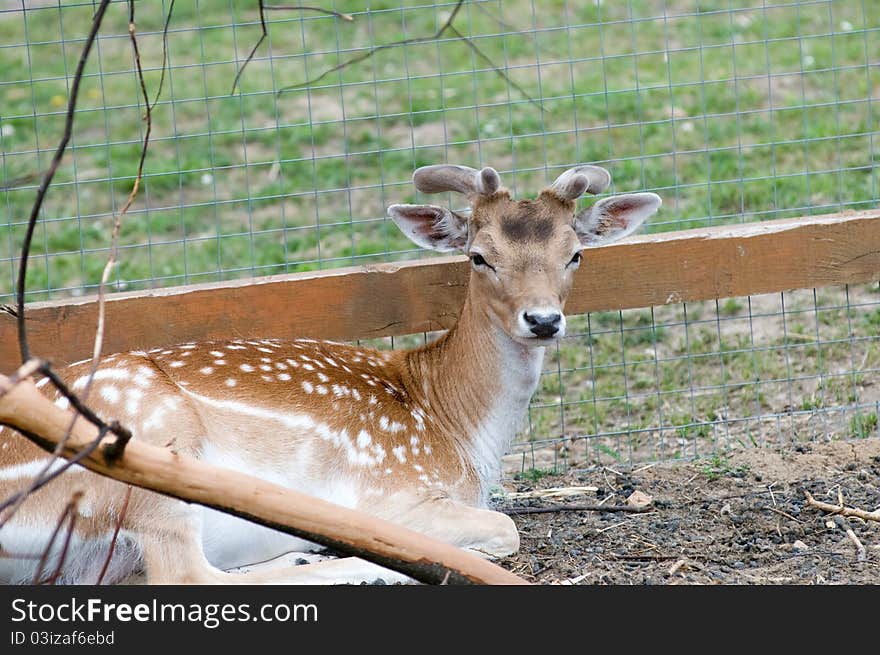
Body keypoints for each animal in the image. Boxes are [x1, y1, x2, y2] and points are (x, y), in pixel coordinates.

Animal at [0, 164, 660, 584]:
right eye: (479, 256)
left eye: (575, 254)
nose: (543, 319)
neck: (462, 431)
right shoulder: (393, 490)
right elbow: (505, 528)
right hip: (143, 449)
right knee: (183, 577)